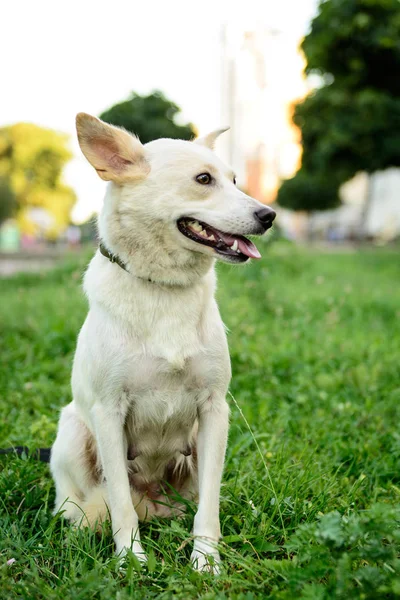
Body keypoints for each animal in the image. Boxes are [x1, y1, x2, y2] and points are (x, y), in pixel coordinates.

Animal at [50, 116, 276, 572]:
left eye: (235, 179)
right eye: (203, 179)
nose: (269, 215)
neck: (164, 288)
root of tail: (153, 502)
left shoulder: (214, 410)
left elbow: (209, 507)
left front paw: (206, 562)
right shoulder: (108, 413)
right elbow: (120, 505)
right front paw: (131, 561)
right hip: (71, 432)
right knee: (77, 502)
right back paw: (78, 526)